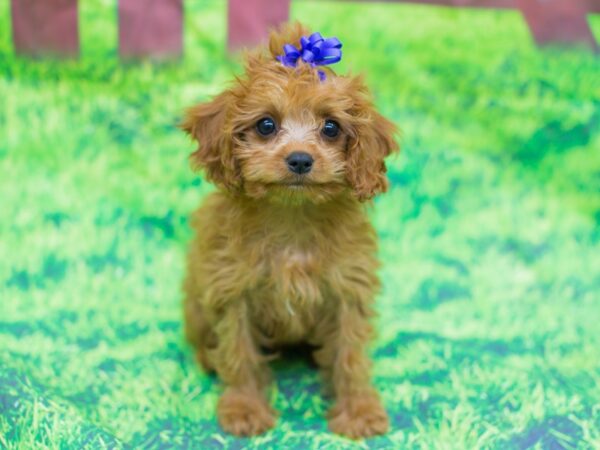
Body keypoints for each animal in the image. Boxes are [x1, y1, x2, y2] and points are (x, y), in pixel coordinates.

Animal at [183, 22, 398, 440]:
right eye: (266, 124)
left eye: (330, 127)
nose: (300, 159)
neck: (293, 215)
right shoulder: (232, 290)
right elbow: (238, 352)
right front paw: (245, 408)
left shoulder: (348, 289)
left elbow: (350, 354)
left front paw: (358, 410)